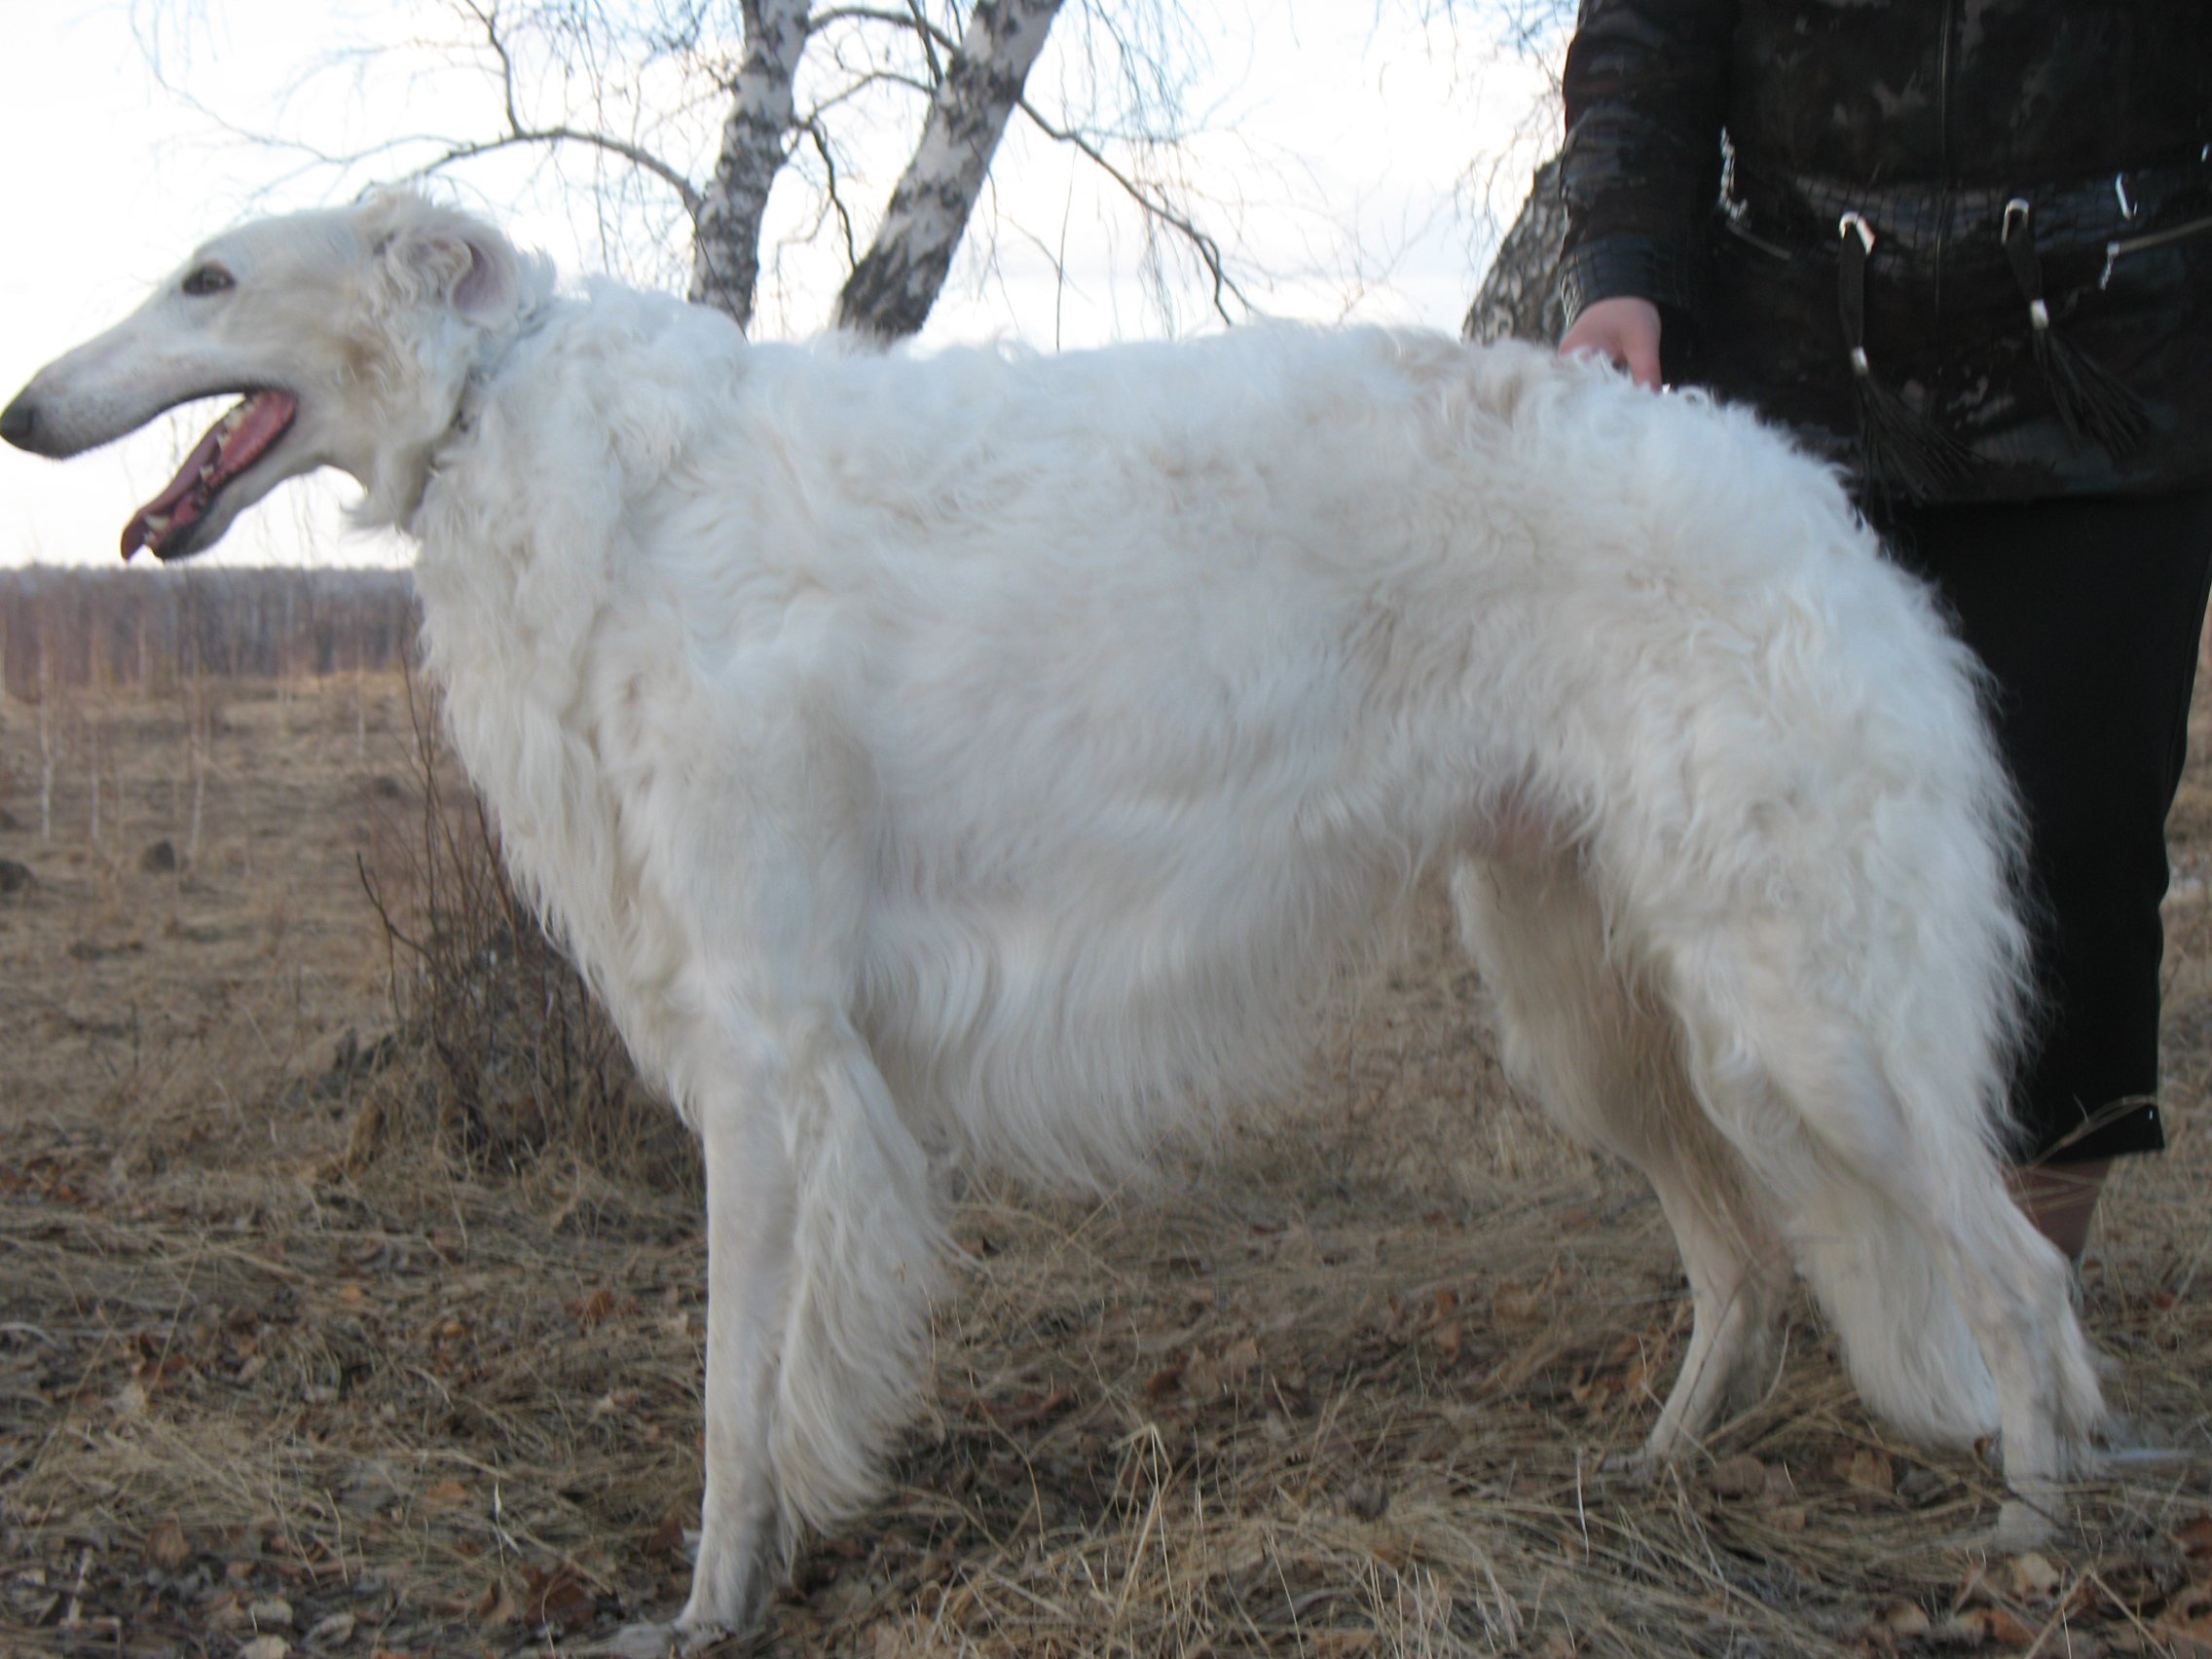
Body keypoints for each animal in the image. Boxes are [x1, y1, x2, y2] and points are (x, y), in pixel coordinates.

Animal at [4, 194, 2105, 1654]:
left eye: (205, 277)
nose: (23, 408)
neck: (538, 436)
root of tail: (1817, 508)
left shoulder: (766, 1035)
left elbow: (735, 1392)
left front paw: (711, 1598)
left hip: (1804, 1008)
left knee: (2015, 1269)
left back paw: (2032, 1529)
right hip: (1598, 996)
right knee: (1746, 1266)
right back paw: (1659, 1470)